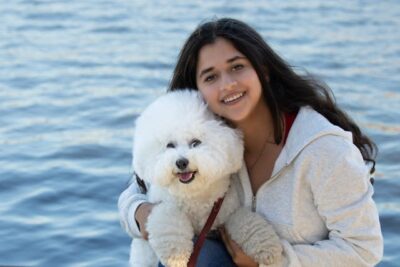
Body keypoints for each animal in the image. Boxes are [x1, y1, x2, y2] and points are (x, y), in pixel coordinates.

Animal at [130, 90, 282, 267]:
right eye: (170, 145)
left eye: (195, 143)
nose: (181, 162)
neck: (194, 193)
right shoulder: (162, 206)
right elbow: (169, 221)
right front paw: (176, 257)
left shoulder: (226, 210)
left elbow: (245, 220)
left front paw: (266, 246)